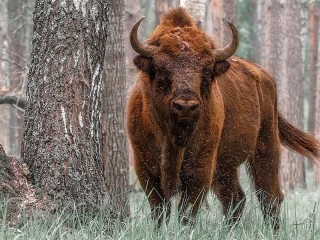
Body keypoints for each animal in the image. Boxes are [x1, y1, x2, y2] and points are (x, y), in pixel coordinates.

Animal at [127, 7, 320, 229]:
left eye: (207, 71)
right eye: (160, 69)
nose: (186, 106)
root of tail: (264, 76)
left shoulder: (201, 166)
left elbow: (188, 210)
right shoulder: (145, 167)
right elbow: (160, 209)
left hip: (265, 146)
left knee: (269, 196)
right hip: (225, 165)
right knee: (235, 198)